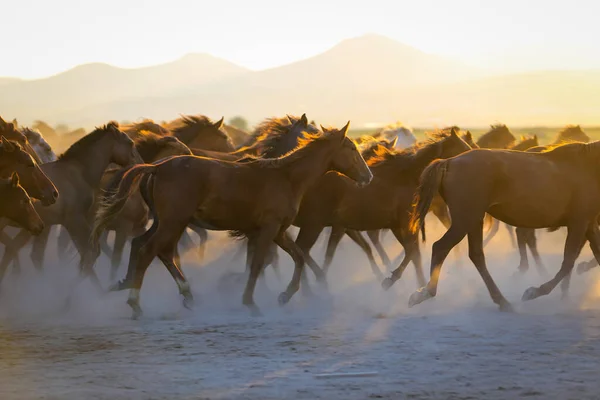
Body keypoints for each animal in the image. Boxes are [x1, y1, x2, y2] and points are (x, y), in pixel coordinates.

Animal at [91, 121, 372, 318]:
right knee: (150, 250)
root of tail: (157, 167)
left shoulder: (277, 231)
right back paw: (136, 302)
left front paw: (284, 295)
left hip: (167, 222)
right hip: (173, 222)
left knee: (155, 249)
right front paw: (251, 302)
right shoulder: (269, 229)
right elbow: (257, 264)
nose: (368, 176)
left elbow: (296, 257)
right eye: (351, 148)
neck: (286, 177)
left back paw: (183, 293)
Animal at [408, 141, 600, 312]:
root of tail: (448, 162)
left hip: (474, 220)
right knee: (441, 247)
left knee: (476, 255)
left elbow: (594, 255)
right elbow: (568, 261)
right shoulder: (578, 222)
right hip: (465, 220)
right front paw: (534, 291)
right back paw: (424, 293)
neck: (589, 167)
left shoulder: (589, 224)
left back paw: (502, 300)